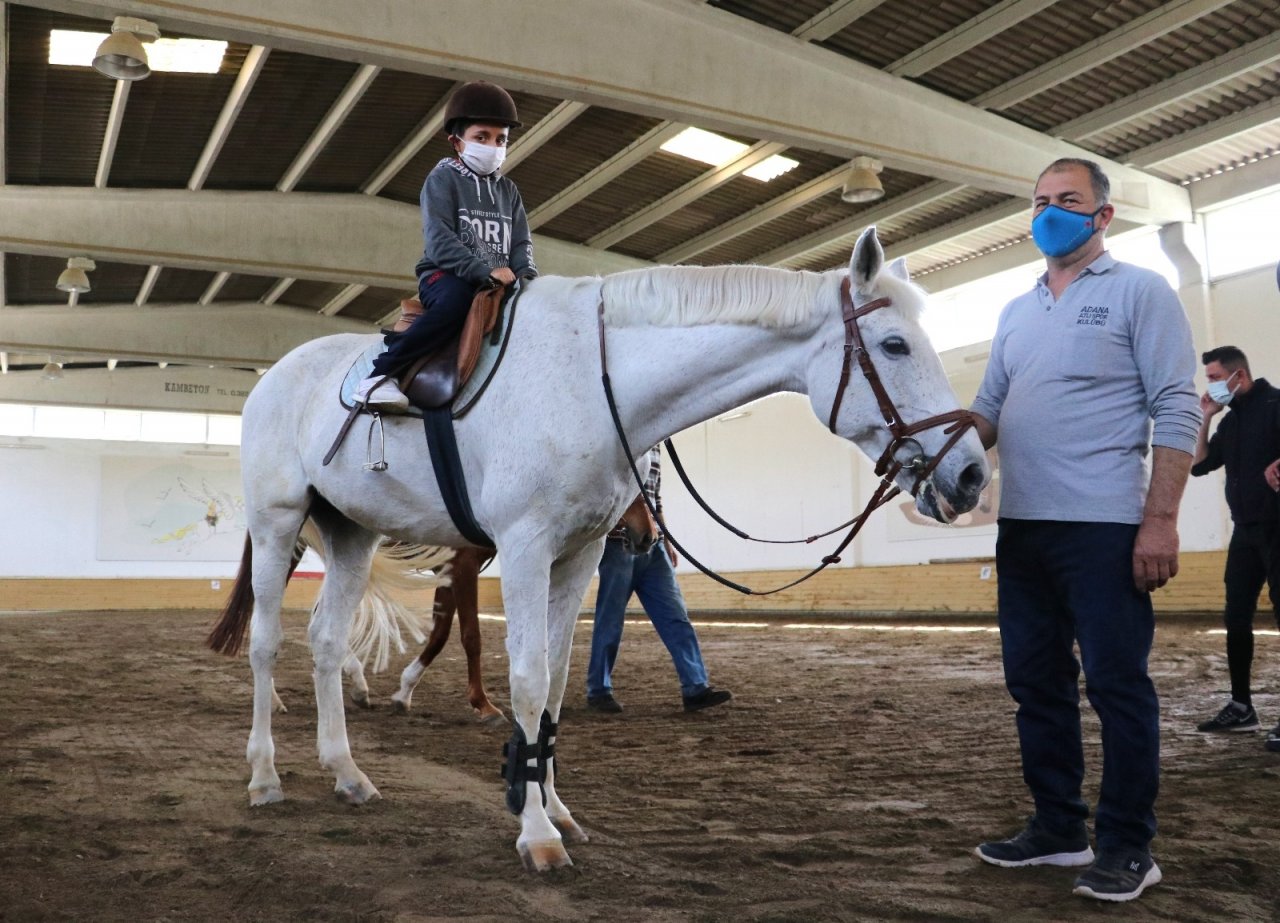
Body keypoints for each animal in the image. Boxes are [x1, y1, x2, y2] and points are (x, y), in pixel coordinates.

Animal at [209, 226, 988, 865]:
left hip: (352, 535)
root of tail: (276, 378)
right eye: (894, 345)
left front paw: (551, 806)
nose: (972, 472)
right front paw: (536, 834)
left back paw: (347, 772)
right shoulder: (524, 548)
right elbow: (526, 679)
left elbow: (555, 684)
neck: (592, 378)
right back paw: (263, 776)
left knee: (327, 641)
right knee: (268, 644)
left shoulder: (576, 555)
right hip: (280, 525)